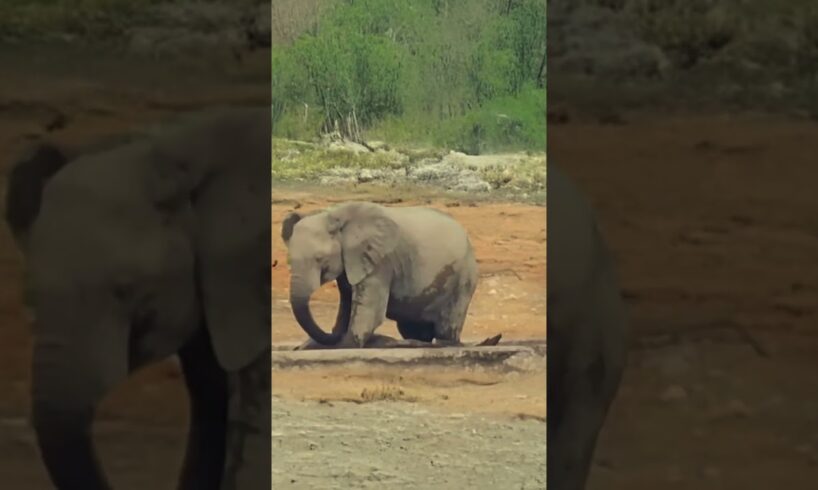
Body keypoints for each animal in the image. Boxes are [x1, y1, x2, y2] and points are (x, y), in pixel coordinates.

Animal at [280, 202, 498, 349]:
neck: (336, 216)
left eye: (320, 259)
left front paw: (345, 344)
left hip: (463, 278)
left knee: (446, 326)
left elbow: (369, 311)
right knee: (413, 329)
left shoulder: (381, 262)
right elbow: (347, 303)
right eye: (289, 261)